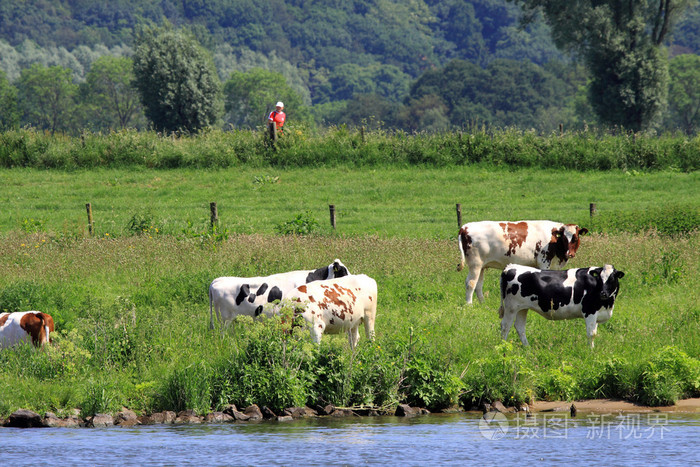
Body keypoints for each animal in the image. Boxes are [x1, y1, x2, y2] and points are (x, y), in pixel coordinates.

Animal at [456, 221, 588, 306]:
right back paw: (469, 305)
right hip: (475, 264)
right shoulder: (544, 262)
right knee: (471, 283)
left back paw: (483, 303)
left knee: (478, 285)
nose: (569, 254)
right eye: (564, 238)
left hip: (482, 266)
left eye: (575, 238)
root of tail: (464, 227)